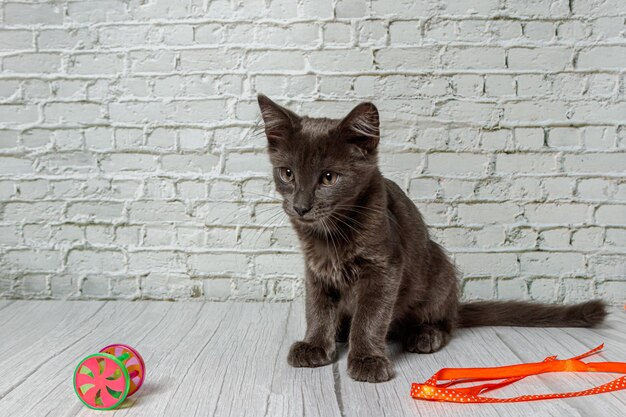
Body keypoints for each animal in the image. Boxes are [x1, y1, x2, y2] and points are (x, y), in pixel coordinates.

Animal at [254, 93, 604, 380]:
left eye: (328, 177)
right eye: (288, 174)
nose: (300, 207)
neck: (331, 236)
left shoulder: (385, 267)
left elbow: (371, 316)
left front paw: (367, 359)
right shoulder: (316, 269)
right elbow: (316, 308)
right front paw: (315, 345)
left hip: (439, 269)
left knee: (446, 322)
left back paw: (425, 335)